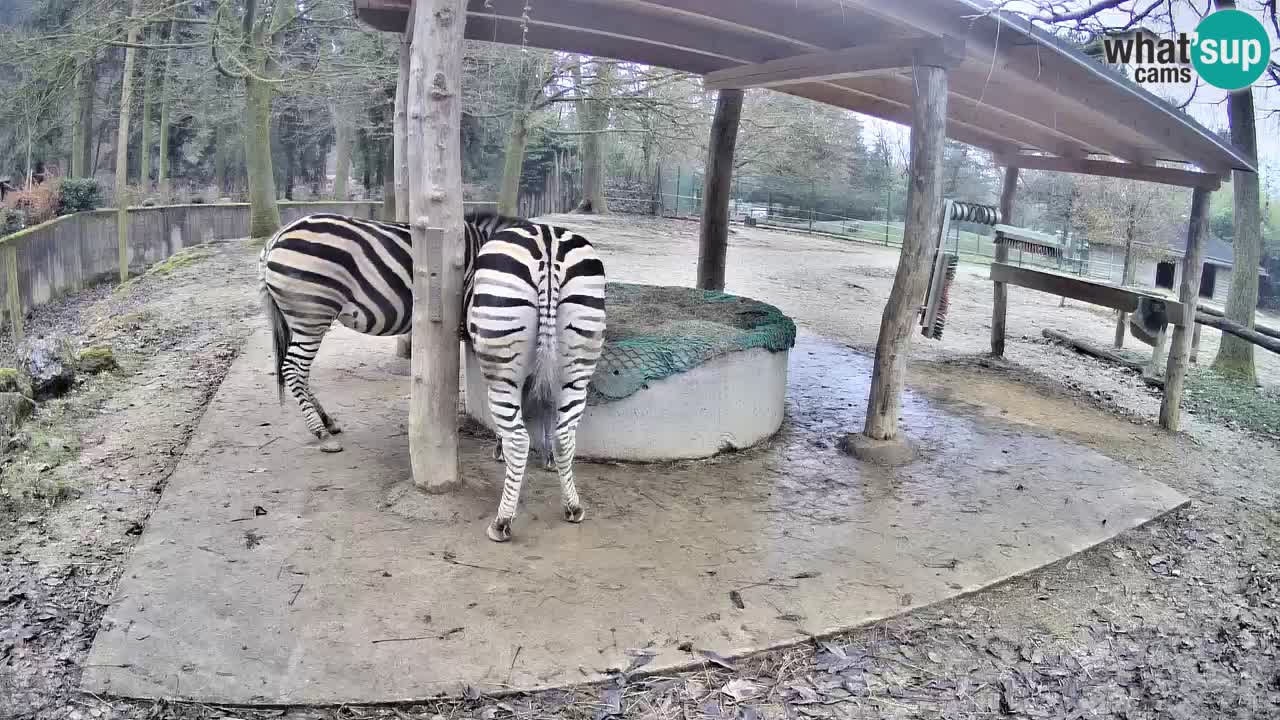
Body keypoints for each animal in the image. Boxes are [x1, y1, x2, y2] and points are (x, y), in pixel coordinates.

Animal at [258, 211, 607, 542]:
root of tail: (276, 237)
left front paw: (544, 455)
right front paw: (504, 447)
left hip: (304, 316)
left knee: (298, 371)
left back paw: (327, 422)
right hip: (312, 314)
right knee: (293, 368)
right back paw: (321, 432)